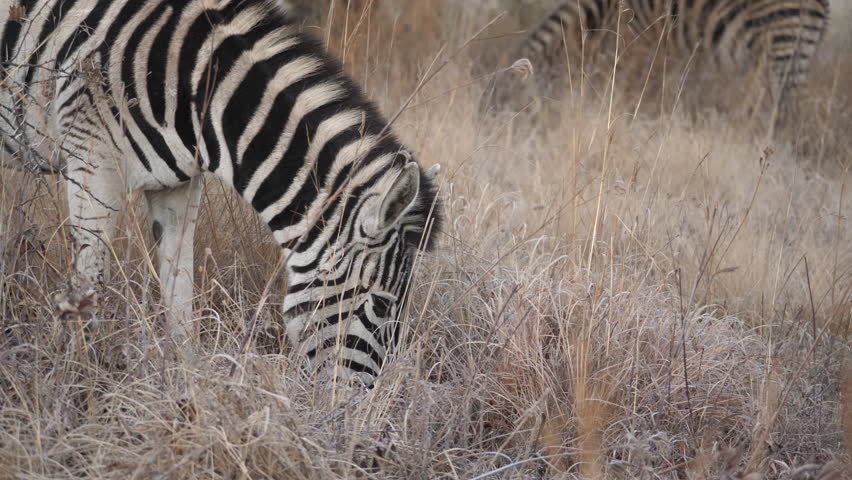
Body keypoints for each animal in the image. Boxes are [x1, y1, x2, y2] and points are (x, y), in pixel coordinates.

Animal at [0, 0, 441, 385]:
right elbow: (88, 284)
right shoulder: (91, 159)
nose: (360, 408)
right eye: (382, 304)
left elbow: (179, 293)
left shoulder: (176, 184)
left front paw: (184, 381)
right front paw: (85, 383)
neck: (196, 88)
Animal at [485, 0, 830, 123]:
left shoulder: (639, 37)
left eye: (510, 104)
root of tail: (821, 7)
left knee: (773, 109)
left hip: (780, 45)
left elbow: (623, 83)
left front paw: (615, 114)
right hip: (792, 48)